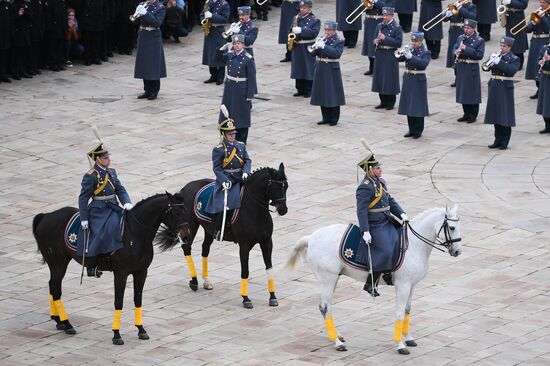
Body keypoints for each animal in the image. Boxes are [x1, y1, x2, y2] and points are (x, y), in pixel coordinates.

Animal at [33, 192, 192, 346]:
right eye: (177, 212)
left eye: (186, 210)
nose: (187, 236)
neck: (135, 233)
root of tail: (46, 216)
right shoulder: (121, 273)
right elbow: (118, 301)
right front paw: (116, 334)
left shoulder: (141, 272)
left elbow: (138, 299)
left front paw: (141, 329)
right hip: (57, 263)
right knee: (55, 288)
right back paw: (67, 324)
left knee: (52, 285)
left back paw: (58, 320)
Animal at [163, 163, 288, 308]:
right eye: (276, 187)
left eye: (286, 186)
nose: (283, 210)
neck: (255, 210)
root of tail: (185, 188)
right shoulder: (244, 245)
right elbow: (245, 271)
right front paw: (246, 298)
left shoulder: (267, 242)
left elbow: (269, 268)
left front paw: (272, 297)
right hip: (190, 226)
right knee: (187, 247)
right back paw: (194, 281)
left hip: (208, 230)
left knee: (205, 249)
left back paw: (206, 281)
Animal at [282, 204, 464, 354]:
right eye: (452, 227)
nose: (457, 251)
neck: (414, 244)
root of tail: (312, 237)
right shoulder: (403, 285)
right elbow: (399, 313)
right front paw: (400, 345)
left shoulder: (412, 285)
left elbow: (407, 310)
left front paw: (408, 338)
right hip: (328, 278)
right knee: (325, 307)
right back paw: (337, 343)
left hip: (332, 279)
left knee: (327, 307)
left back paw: (337, 336)